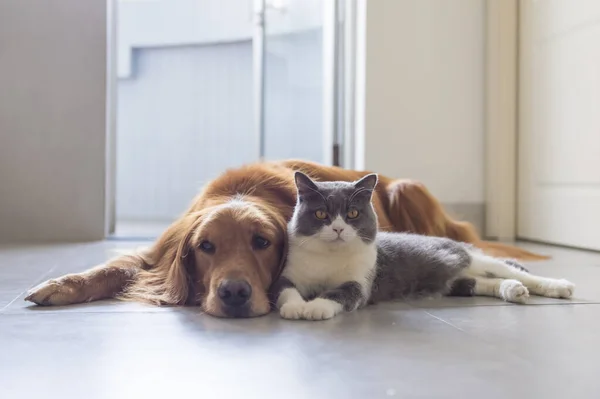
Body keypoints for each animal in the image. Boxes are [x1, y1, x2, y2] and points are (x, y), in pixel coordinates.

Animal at [272, 172, 576, 322]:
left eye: (353, 214)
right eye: (321, 214)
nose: (337, 229)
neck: (329, 258)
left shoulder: (359, 282)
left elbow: (340, 293)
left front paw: (314, 308)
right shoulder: (289, 273)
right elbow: (286, 291)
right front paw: (296, 307)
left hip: (469, 257)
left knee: (512, 270)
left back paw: (557, 286)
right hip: (457, 280)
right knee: (483, 282)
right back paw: (513, 290)